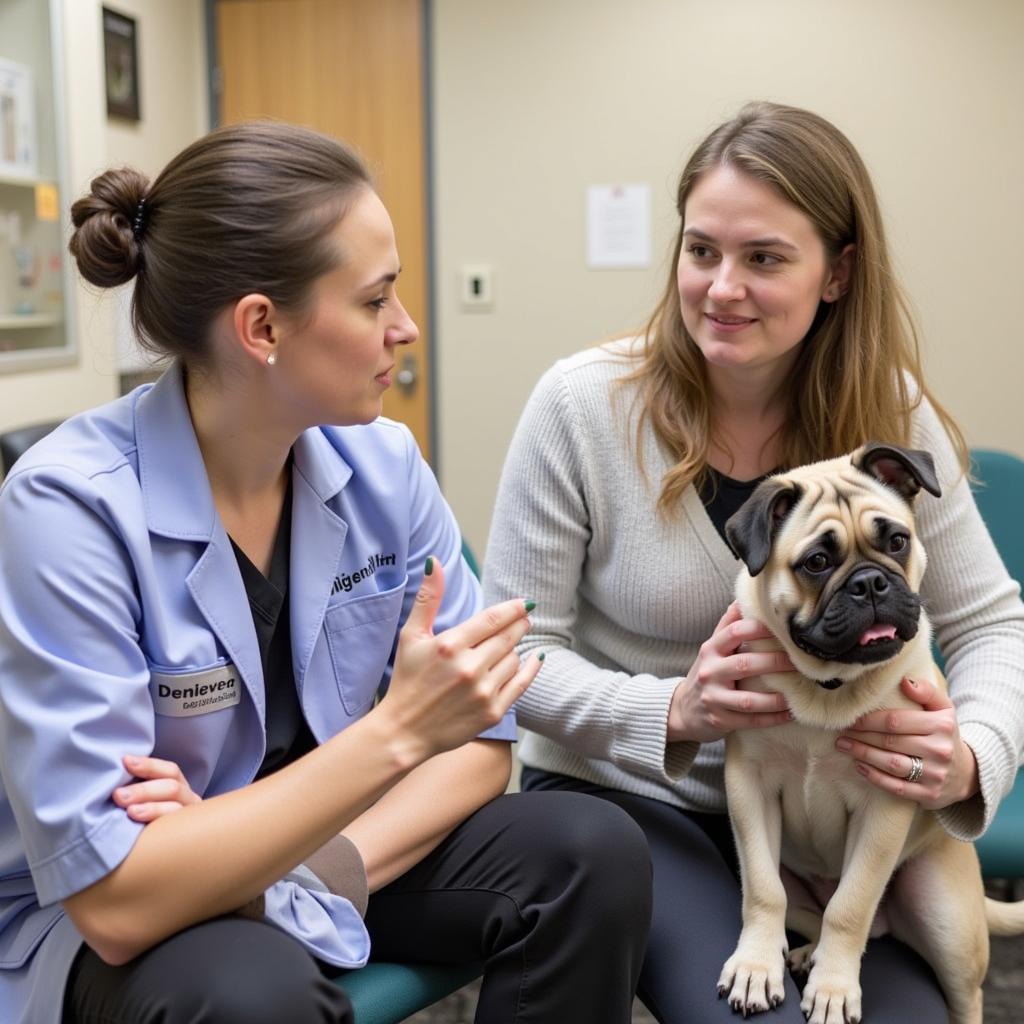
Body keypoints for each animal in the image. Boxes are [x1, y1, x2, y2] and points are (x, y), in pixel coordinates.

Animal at [716, 442, 1024, 1024]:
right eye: (817, 563)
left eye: (896, 541)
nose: (870, 582)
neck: (828, 687)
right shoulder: (751, 788)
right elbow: (764, 892)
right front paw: (756, 966)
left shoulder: (885, 806)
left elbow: (852, 904)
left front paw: (835, 988)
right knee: (815, 911)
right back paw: (805, 954)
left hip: (947, 922)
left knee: (947, 980)